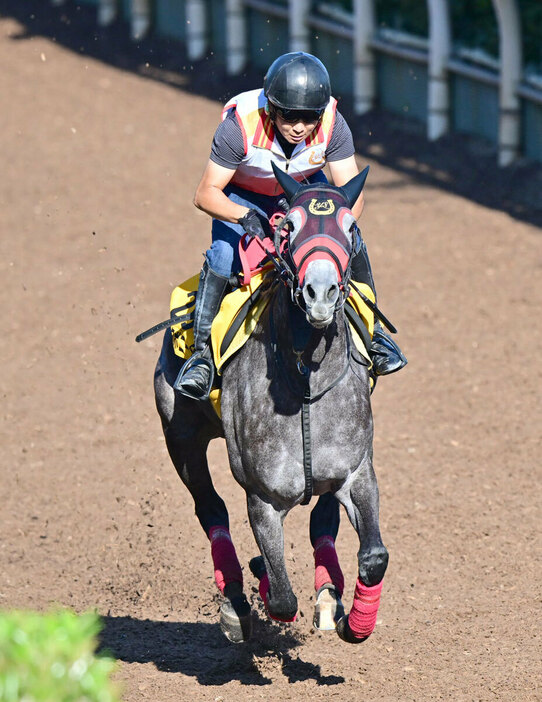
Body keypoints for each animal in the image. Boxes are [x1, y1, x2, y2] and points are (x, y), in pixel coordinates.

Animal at [153, 162, 388, 648]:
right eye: (289, 226)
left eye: (350, 227)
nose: (321, 292)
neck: (304, 385)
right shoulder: (261, 496)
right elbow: (280, 595)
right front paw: (259, 578)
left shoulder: (356, 471)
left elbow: (374, 555)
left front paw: (353, 623)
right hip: (181, 436)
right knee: (211, 509)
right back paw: (236, 599)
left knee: (322, 521)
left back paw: (328, 595)